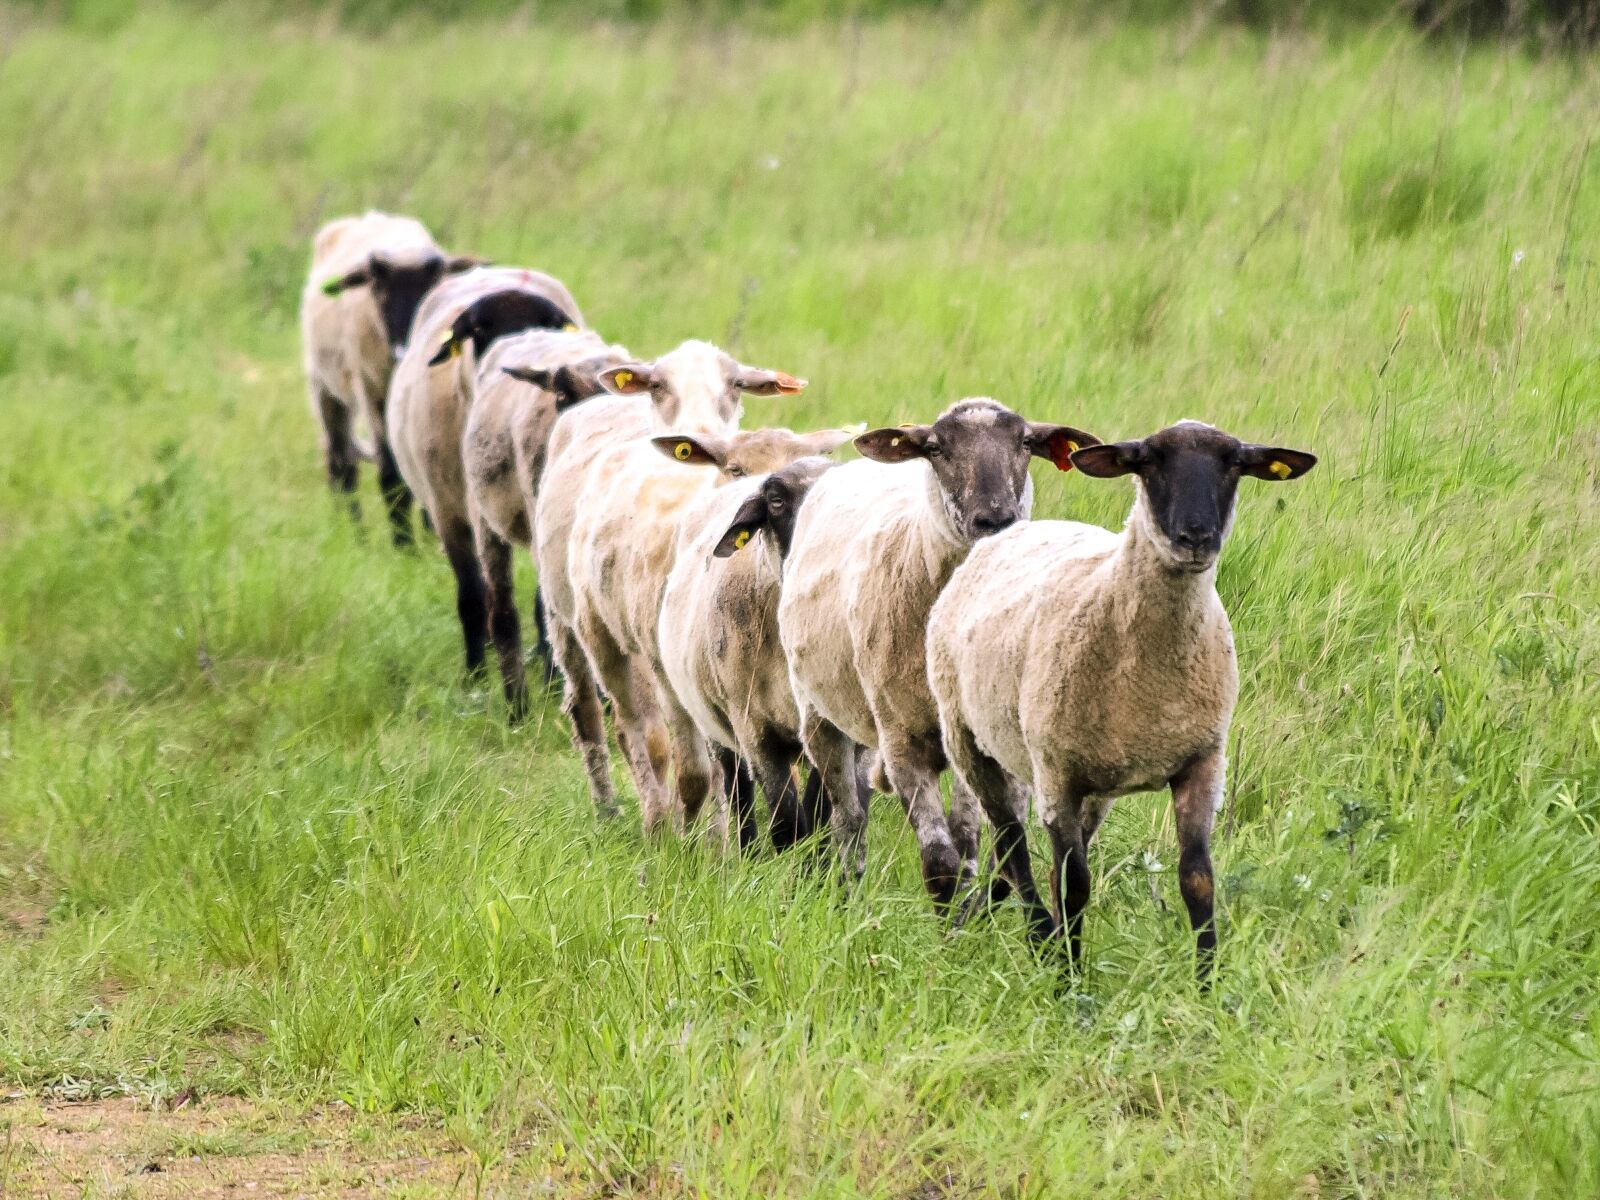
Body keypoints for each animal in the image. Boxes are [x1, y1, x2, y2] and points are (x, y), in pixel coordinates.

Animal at [299, 211, 479, 543]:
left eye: (432, 285)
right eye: (378, 288)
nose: (401, 349)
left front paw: (429, 537)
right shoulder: (372, 387)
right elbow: (390, 473)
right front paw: (404, 545)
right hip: (324, 387)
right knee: (340, 463)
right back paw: (354, 535)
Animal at [384, 269, 585, 694]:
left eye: (547, 324)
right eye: (478, 329)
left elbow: (542, 603)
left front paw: (550, 676)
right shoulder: (446, 513)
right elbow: (471, 597)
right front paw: (474, 676)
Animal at [534, 340, 806, 822]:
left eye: (737, 385)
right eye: (658, 385)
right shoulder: (664, 661)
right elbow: (684, 762)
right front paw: (680, 832)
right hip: (579, 624)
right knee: (605, 718)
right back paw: (629, 813)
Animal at [777, 398, 1101, 907]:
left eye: (1027, 443)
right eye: (935, 448)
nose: (995, 520)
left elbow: (970, 843)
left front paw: (970, 915)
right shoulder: (902, 741)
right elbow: (940, 865)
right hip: (820, 716)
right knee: (849, 821)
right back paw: (848, 893)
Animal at [925, 420, 1317, 976]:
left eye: (1236, 464)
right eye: (1147, 462)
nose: (1196, 538)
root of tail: (1008, 531)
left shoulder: (1201, 762)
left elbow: (1197, 878)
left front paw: (1207, 982)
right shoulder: (1058, 773)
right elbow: (1075, 885)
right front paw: (1069, 982)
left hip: (1096, 783)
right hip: (969, 740)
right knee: (1012, 845)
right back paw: (1039, 937)